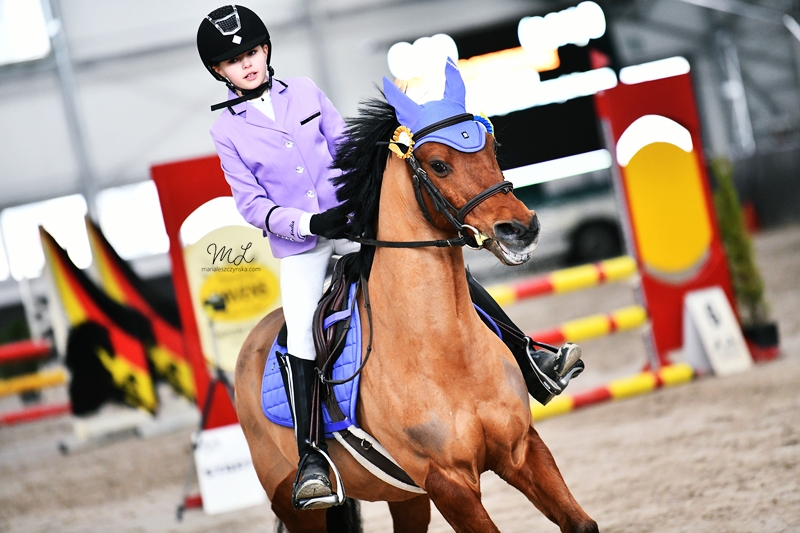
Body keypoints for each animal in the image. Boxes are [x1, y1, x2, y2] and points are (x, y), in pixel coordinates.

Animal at [235, 68, 598, 533]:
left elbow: (581, 524)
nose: (521, 229)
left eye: (493, 148)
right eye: (439, 165)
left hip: (407, 497)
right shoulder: (448, 483)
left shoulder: (522, 450)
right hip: (293, 504)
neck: (444, 351)